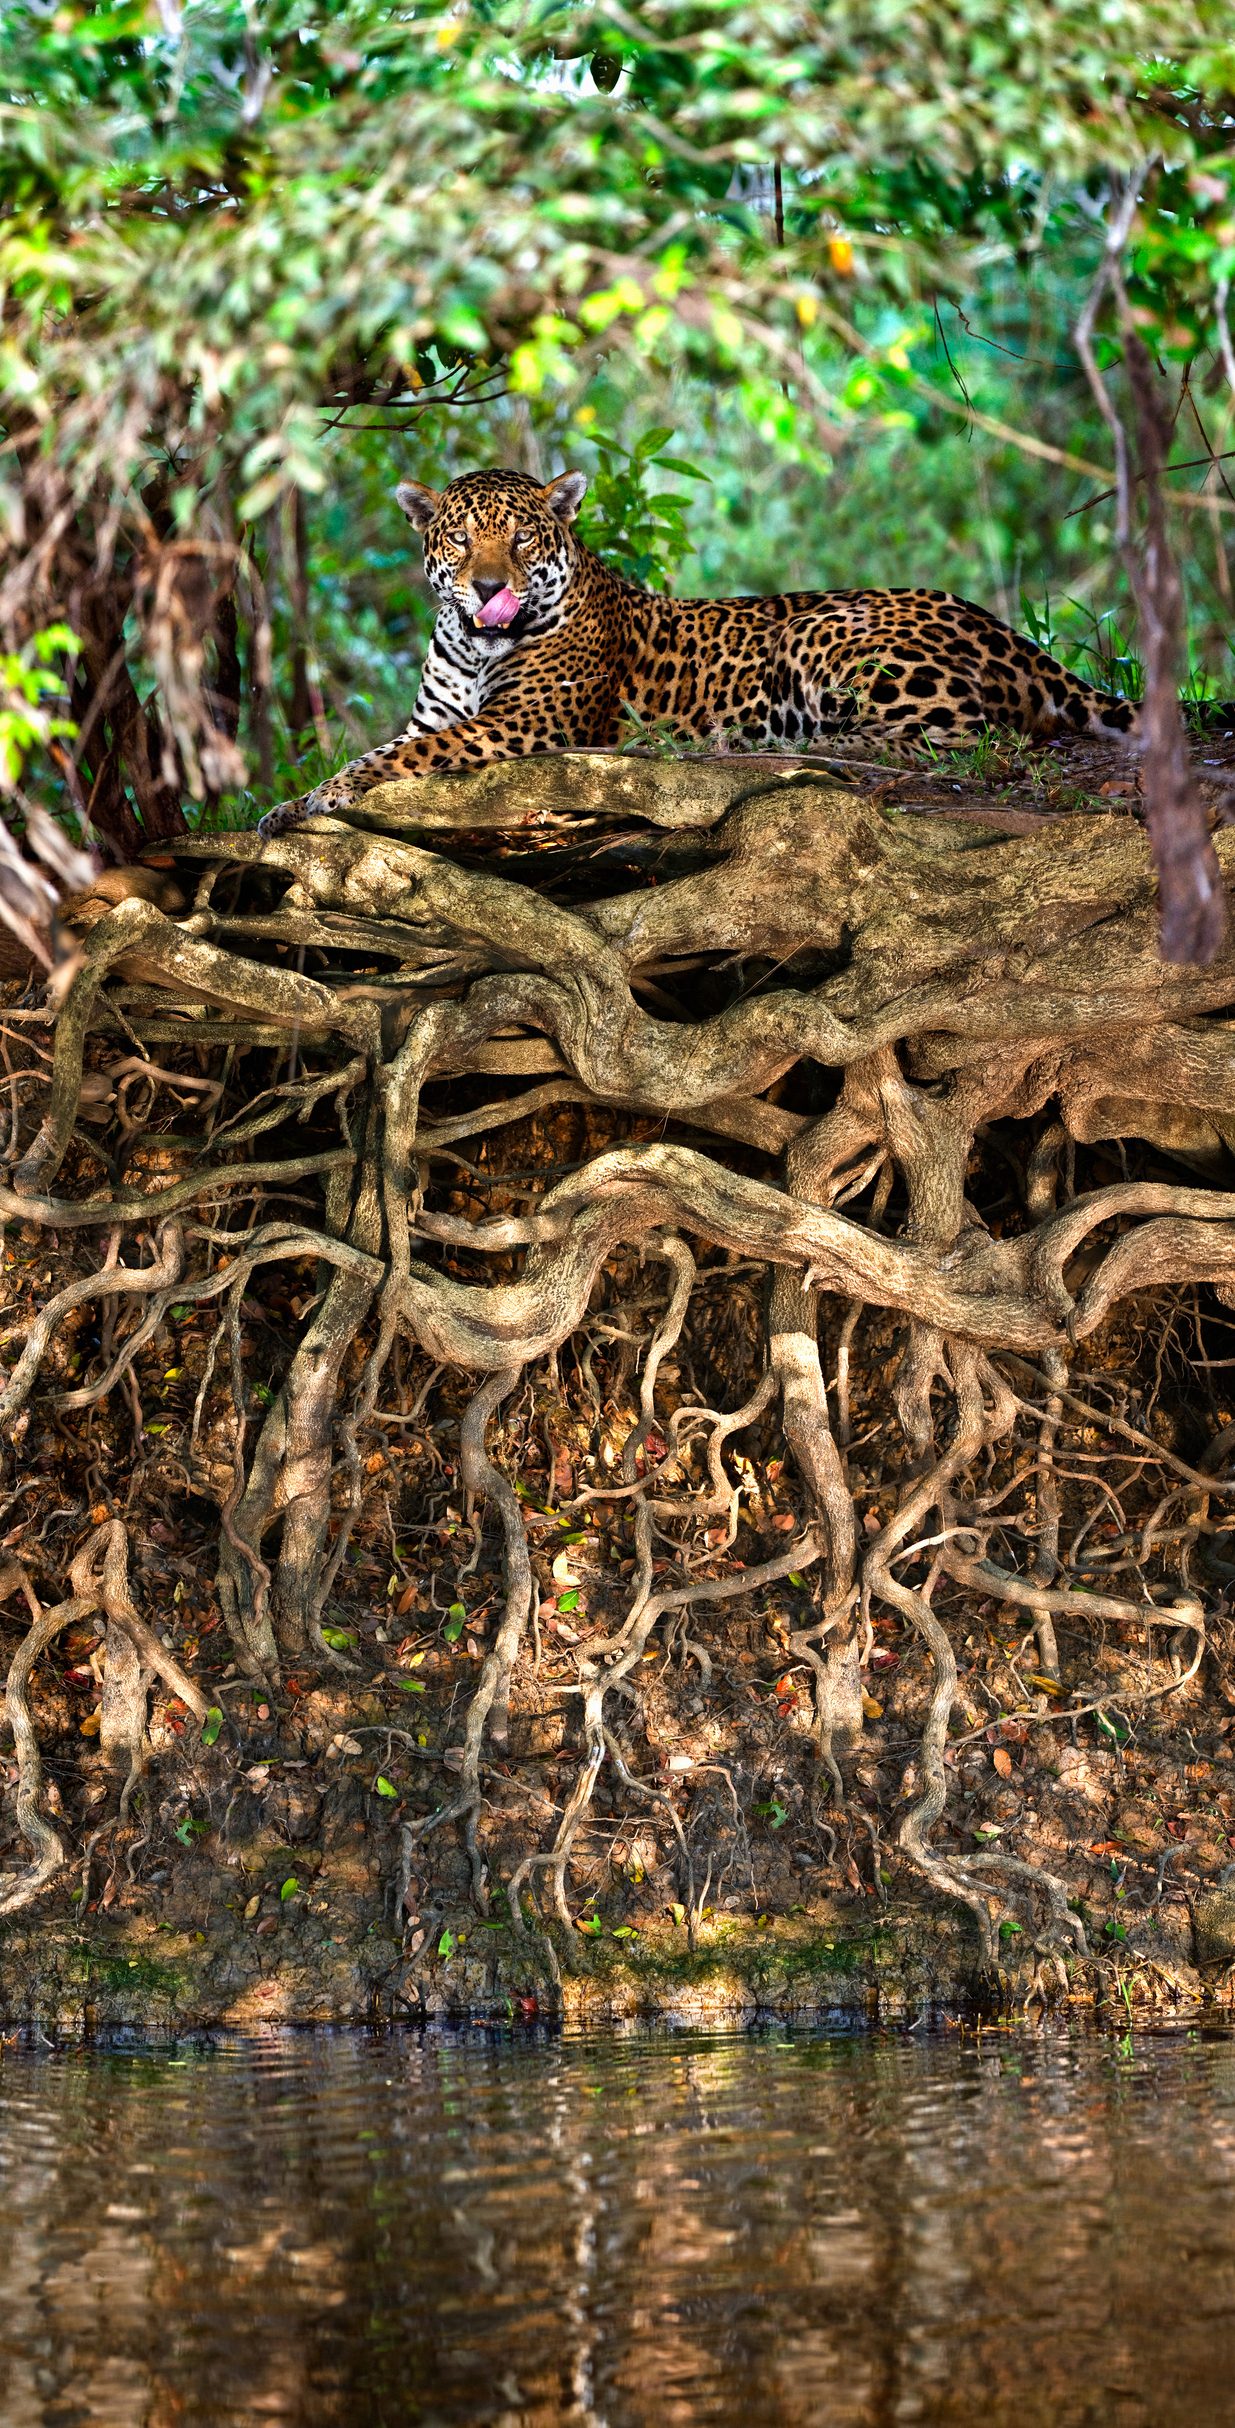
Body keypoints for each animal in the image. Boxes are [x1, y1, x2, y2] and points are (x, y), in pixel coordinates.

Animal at [258, 464, 1138, 836]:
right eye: (460, 538)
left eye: (520, 538)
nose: (485, 588)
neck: (477, 646)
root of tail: (993, 622)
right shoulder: (434, 717)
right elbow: (383, 748)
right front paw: (290, 802)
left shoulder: (520, 726)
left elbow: (392, 761)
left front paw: (319, 800)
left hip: (825, 632)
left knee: (969, 735)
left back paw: (808, 745)